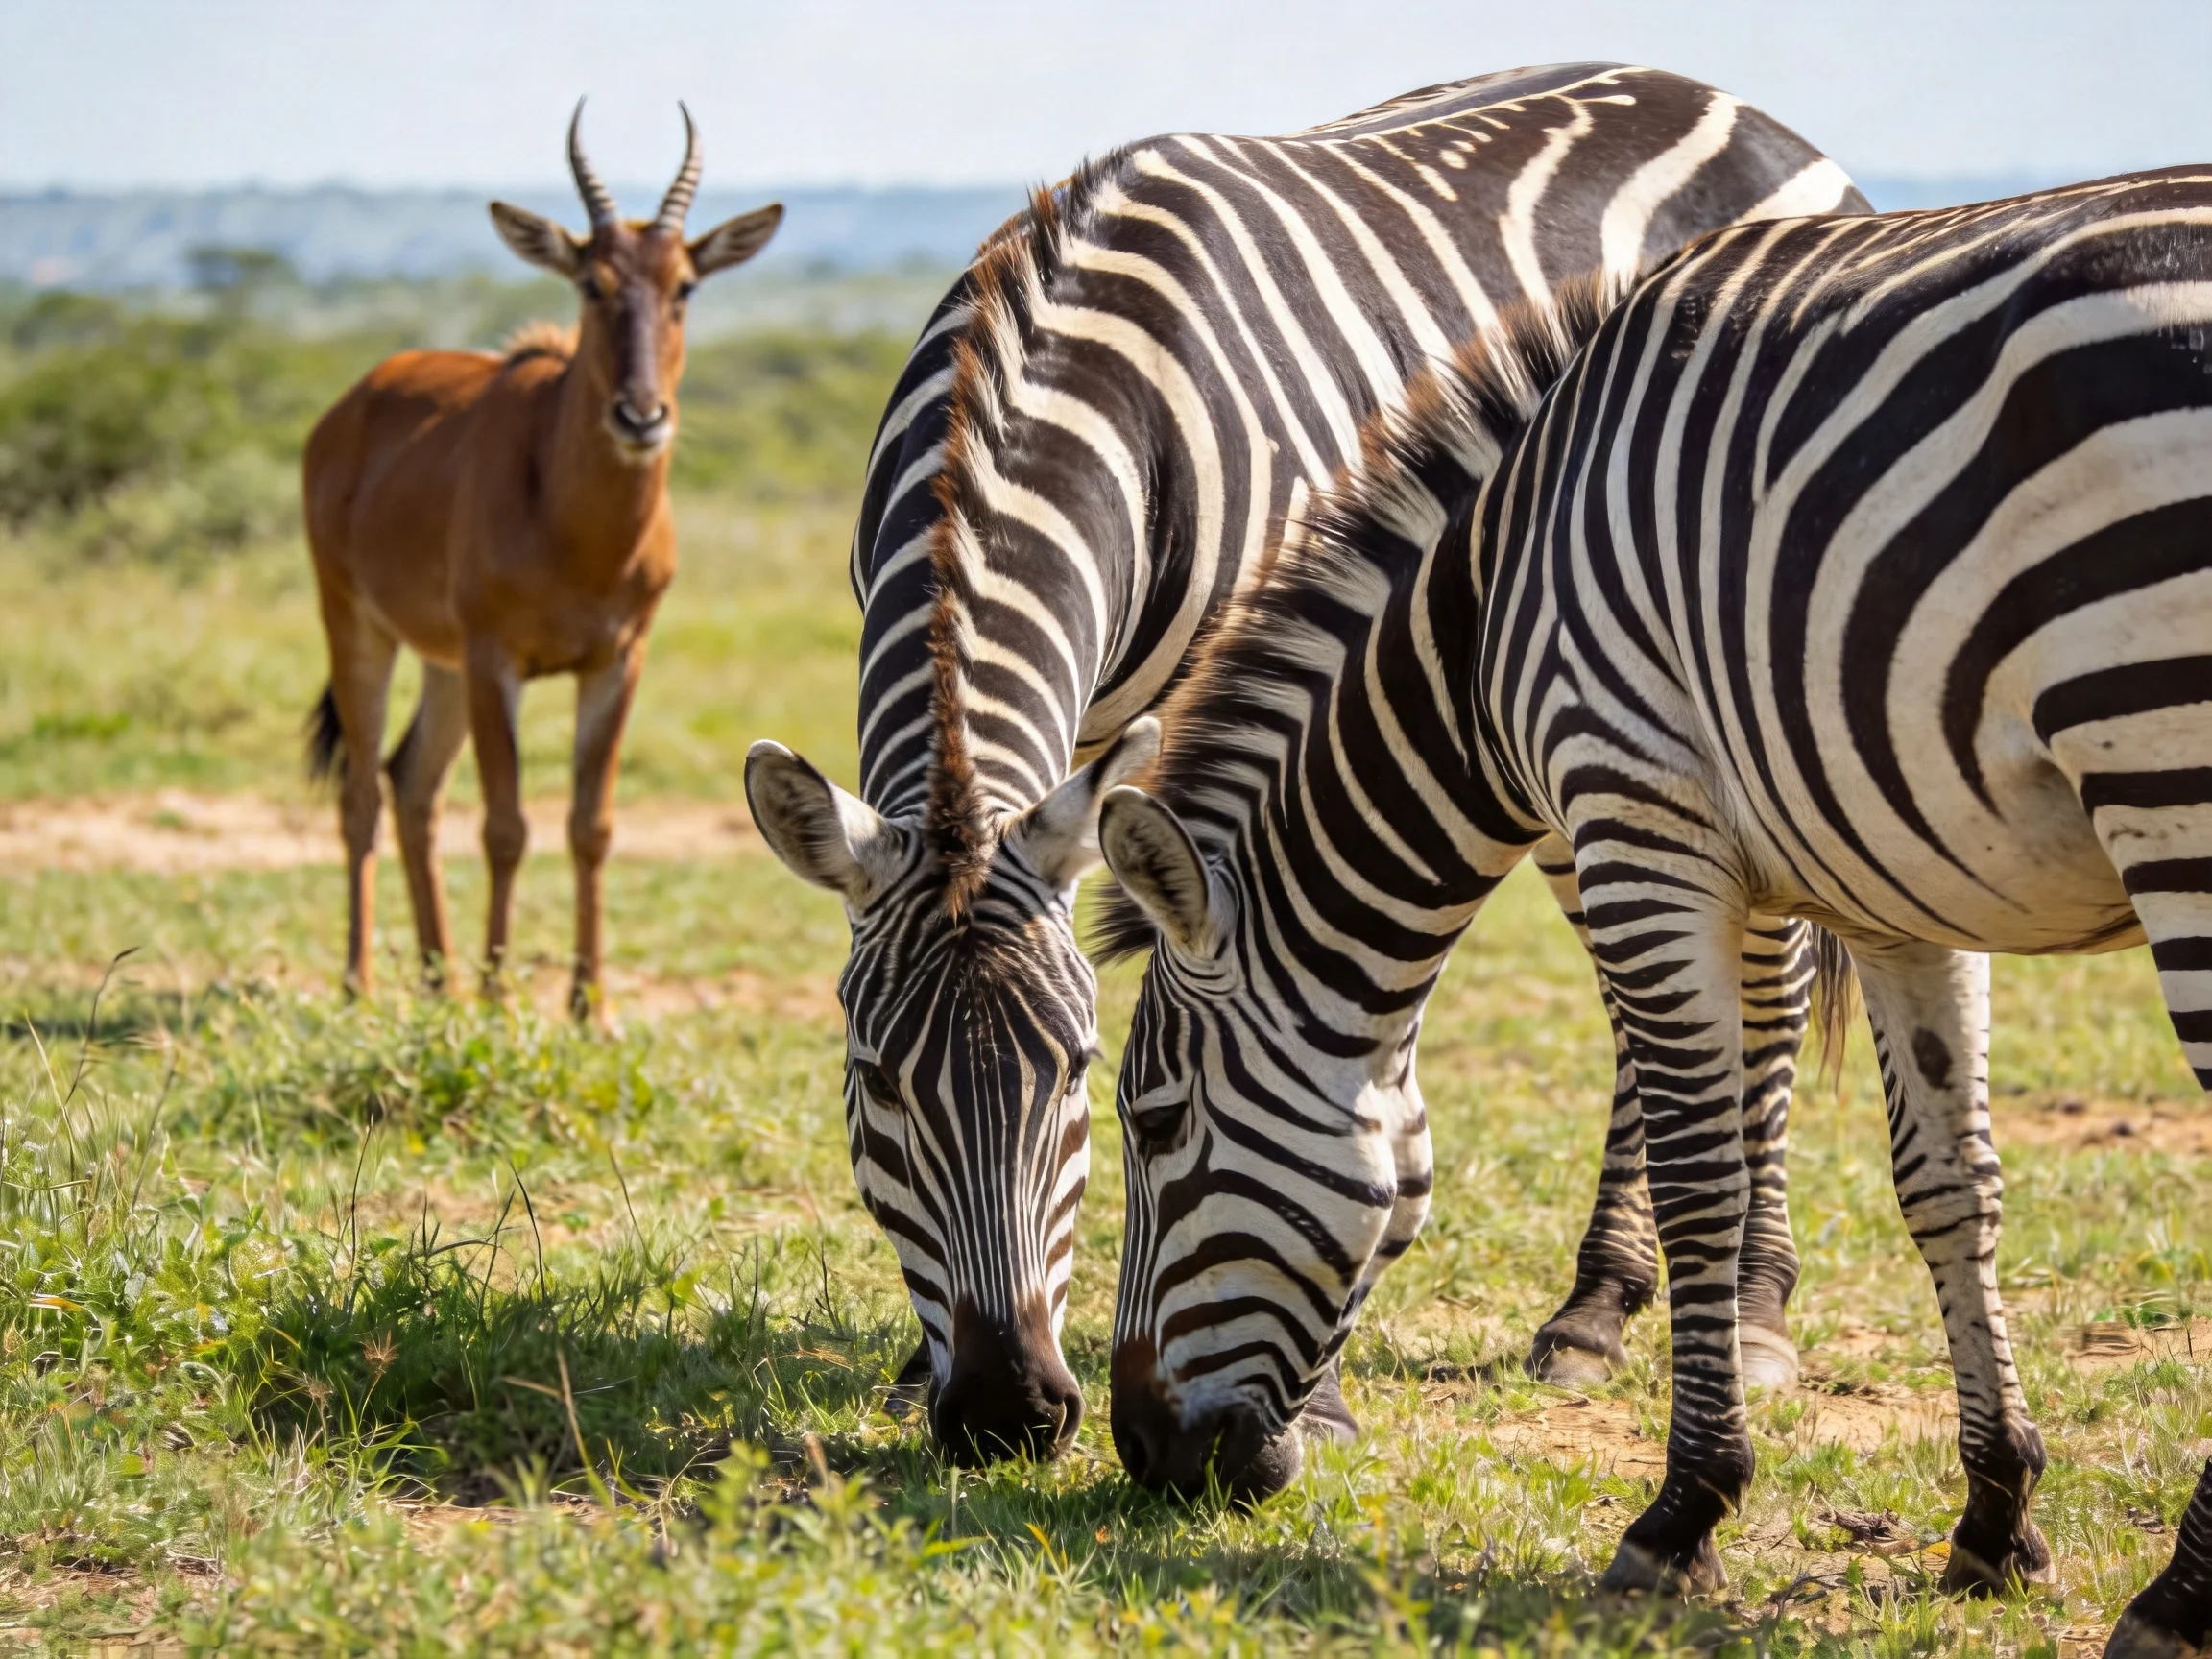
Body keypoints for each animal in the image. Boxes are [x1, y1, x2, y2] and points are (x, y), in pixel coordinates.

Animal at [303, 103, 781, 1020]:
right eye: (592, 282)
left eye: (685, 285)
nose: (641, 415)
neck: (578, 535)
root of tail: (352, 404)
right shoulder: (499, 662)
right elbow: (506, 826)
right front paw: (499, 997)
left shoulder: (617, 661)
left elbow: (590, 827)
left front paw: (590, 1007)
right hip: (360, 630)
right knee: (361, 793)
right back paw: (361, 984)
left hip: (443, 664)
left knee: (412, 783)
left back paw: (440, 978)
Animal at [742, 63, 1866, 1466]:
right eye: (874, 1083)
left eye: (1072, 1071)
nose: (1008, 1413)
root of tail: (1732, 102)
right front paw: (914, 1363)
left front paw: (1321, 1379)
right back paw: (1605, 1304)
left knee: (1759, 985)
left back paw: (1720, 1307)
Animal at [1095, 171, 2212, 1651]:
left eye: (1157, 1126)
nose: (1141, 1456)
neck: (1489, 609)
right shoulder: (1902, 882)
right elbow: (1950, 1186)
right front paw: (1996, 1517)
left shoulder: (1635, 810)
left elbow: (1700, 1177)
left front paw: (1683, 1515)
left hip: (2168, 776)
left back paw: (2181, 1593)